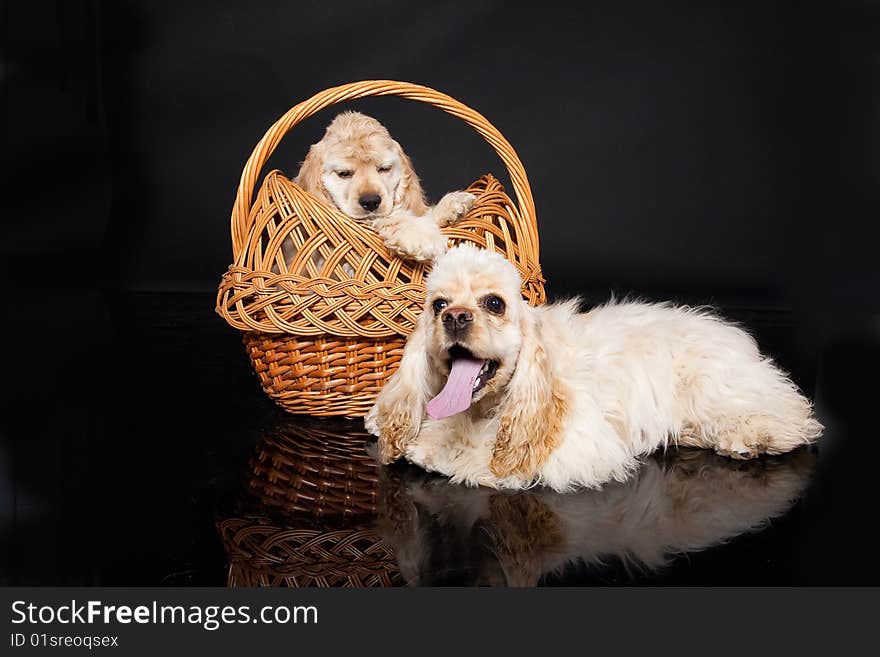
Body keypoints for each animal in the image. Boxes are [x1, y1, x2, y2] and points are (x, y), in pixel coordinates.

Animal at [288, 110, 478, 262]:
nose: (371, 201)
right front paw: (419, 235)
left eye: (384, 168)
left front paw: (451, 206)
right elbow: (386, 217)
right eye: (344, 173)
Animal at [362, 243, 820, 490]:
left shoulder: (580, 446)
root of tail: (731, 333)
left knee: (791, 416)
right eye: (438, 304)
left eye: (494, 303)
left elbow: (476, 454)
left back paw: (750, 437)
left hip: (716, 387)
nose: (455, 317)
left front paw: (437, 449)